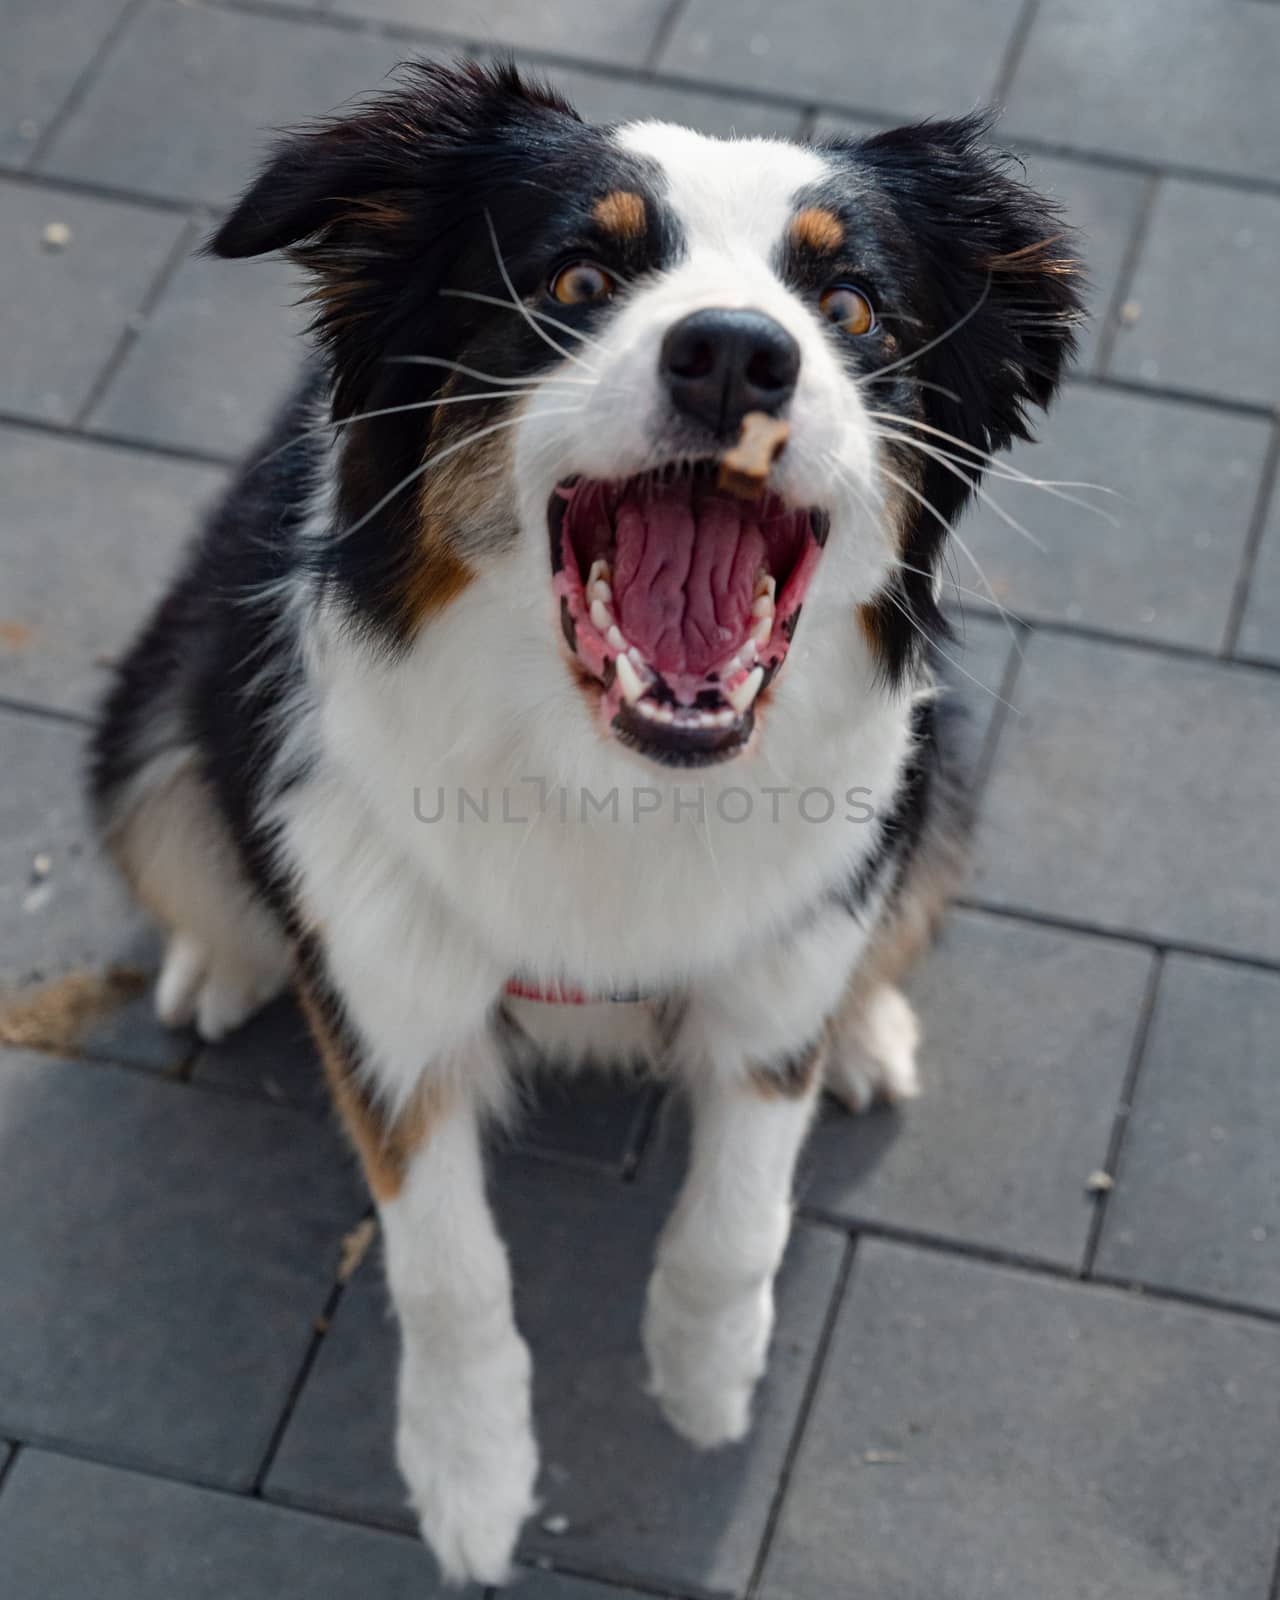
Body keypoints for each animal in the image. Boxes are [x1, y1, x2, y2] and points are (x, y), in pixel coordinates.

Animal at [87, 65, 1081, 1587]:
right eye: (578, 275)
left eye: (850, 307)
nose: (735, 356)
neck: (612, 780)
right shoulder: (389, 988)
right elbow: (446, 1268)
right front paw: (471, 1481)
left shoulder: (785, 946)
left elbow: (742, 1209)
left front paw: (702, 1381)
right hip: (156, 710)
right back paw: (225, 957)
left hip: (943, 775)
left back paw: (867, 1030)